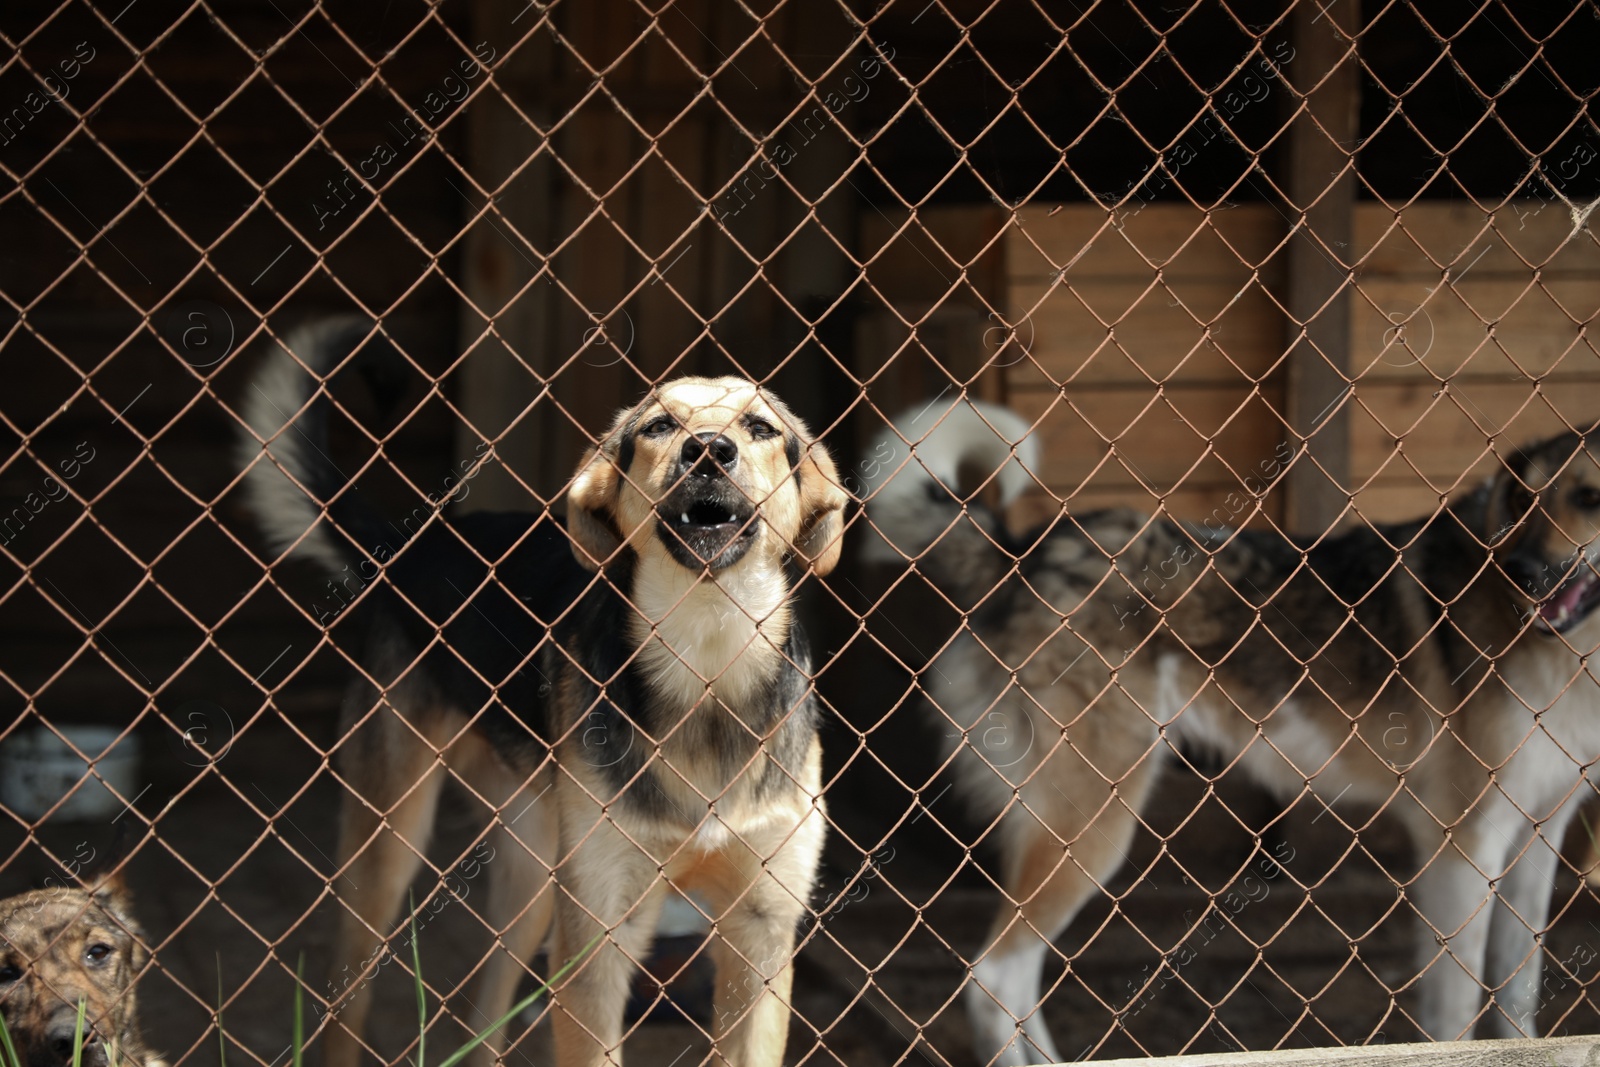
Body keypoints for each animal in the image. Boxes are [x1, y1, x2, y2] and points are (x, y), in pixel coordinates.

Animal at [233, 323, 851, 1067]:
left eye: (760, 427)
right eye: (659, 425)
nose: (708, 450)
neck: (706, 660)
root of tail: (417, 545)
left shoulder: (760, 936)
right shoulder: (599, 935)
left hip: (533, 872)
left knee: (484, 1017)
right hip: (389, 848)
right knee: (346, 1002)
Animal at [870, 399, 1600, 1067]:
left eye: (1588, 498)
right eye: (1524, 501)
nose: (1522, 571)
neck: (1567, 656)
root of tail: (1025, 552)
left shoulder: (1536, 840)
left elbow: (1517, 997)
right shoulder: (1462, 849)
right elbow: (1455, 1016)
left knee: (1013, 979)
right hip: (1091, 825)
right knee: (992, 978)